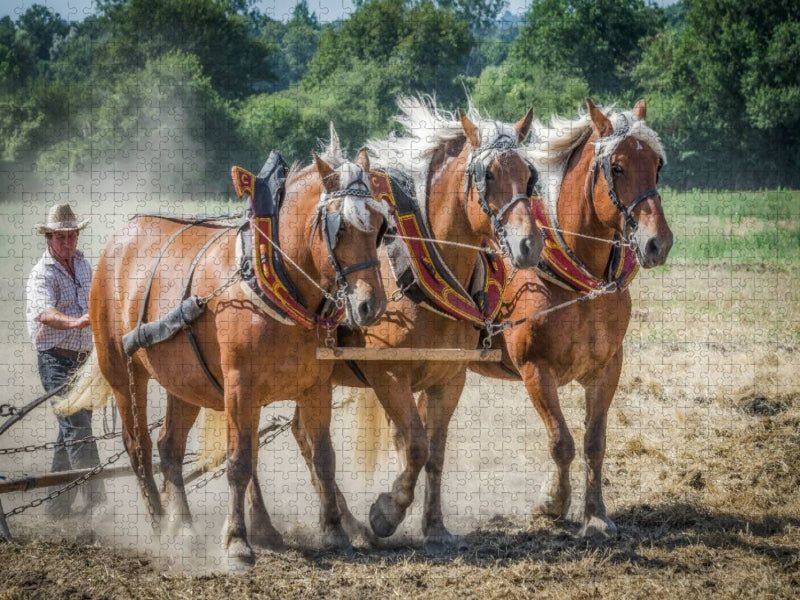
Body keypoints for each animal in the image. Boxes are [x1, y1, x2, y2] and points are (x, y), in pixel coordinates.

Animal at [61, 137, 390, 570]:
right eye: (341, 226)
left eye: (380, 225)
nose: (372, 305)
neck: (275, 279)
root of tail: (120, 239)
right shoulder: (240, 387)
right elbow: (238, 462)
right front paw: (236, 542)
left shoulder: (315, 386)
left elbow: (323, 457)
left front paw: (334, 531)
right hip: (123, 373)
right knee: (139, 449)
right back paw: (159, 528)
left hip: (185, 382)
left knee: (169, 447)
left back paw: (185, 529)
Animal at [467, 99, 673, 537]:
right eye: (617, 167)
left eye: (657, 166)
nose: (657, 242)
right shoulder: (535, 370)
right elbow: (561, 441)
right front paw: (552, 503)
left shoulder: (607, 368)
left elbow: (594, 443)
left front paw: (596, 515)